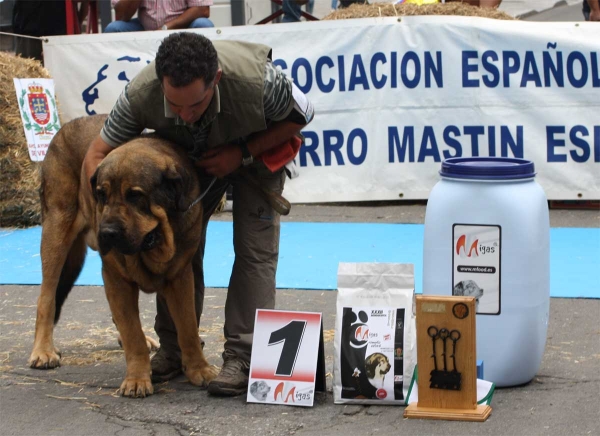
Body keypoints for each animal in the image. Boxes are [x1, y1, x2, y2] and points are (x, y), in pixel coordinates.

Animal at [29, 114, 218, 396]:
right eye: (101, 194)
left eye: (135, 195)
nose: (107, 233)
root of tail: (67, 125)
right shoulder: (116, 277)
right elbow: (133, 334)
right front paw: (137, 379)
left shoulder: (180, 277)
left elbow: (187, 329)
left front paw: (199, 369)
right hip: (57, 233)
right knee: (47, 298)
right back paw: (43, 351)